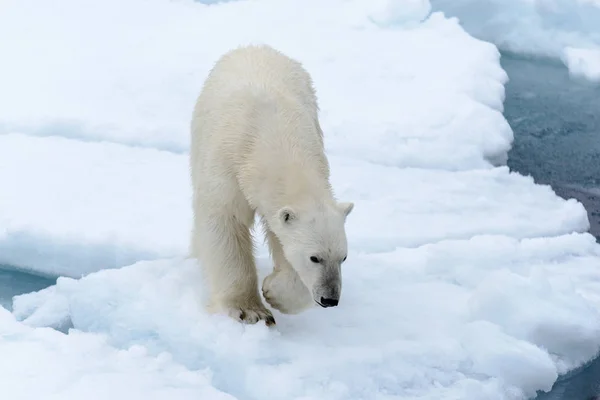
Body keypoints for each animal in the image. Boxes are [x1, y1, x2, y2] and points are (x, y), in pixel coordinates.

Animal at [190, 44, 354, 324]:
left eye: (343, 257)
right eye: (315, 258)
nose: (330, 299)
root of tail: (256, 46)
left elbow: (281, 239)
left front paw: (275, 293)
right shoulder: (227, 166)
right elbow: (225, 223)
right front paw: (249, 311)